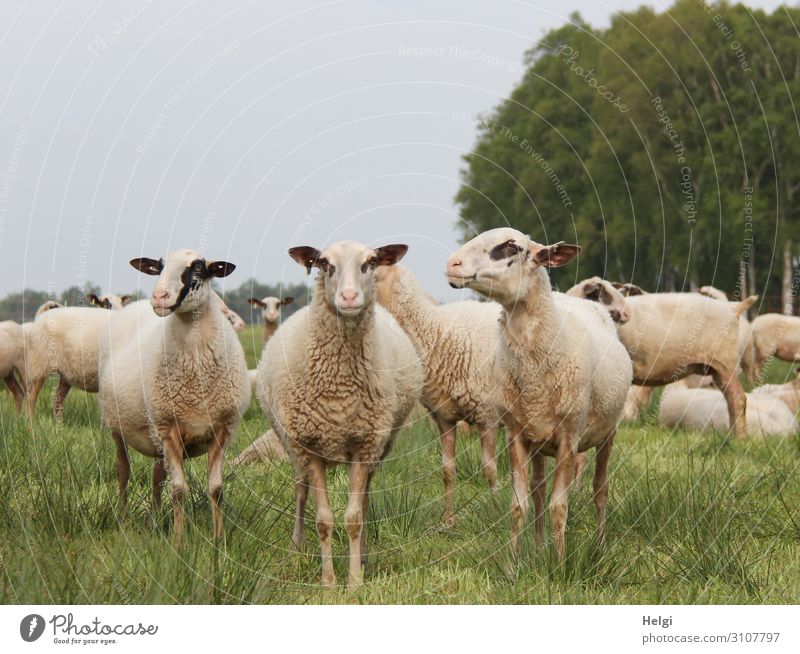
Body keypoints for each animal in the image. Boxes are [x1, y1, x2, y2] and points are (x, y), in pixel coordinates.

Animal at [99, 251, 250, 548]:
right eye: (159, 266)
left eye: (198, 267)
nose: (159, 297)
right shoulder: (170, 431)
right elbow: (179, 490)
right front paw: (179, 543)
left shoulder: (222, 431)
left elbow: (216, 489)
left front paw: (219, 540)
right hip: (118, 425)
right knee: (123, 470)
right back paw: (123, 519)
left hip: (156, 428)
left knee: (157, 475)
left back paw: (154, 519)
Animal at [260, 241, 424, 588]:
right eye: (324, 263)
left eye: (371, 262)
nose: (348, 298)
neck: (340, 388)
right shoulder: (311, 448)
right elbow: (323, 520)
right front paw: (328, 582)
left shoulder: (365, 445)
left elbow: (354, 517)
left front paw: (355, 581)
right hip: (292, 444)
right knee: (300, 490)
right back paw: (296, 548)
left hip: (379, 445)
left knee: (365, 498)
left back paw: (363, 557)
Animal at [376, 264, 500, 524]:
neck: (433, 330)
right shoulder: (444, 417)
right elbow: (447, 470)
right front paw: (448, 520)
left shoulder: (487, 415)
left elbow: (490, 470)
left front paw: (497, 513)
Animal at [444, 228, 632, 560]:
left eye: (510, 246)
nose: (452, 265)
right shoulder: (516, 435)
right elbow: (519, 506)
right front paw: (514, 561)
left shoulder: (569, 438)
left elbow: (560, 507)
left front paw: (559, 562)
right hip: (539, 437)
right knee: (539, 489)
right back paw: (538, 543)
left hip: (608, 432)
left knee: (600, 488)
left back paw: (598, 544)